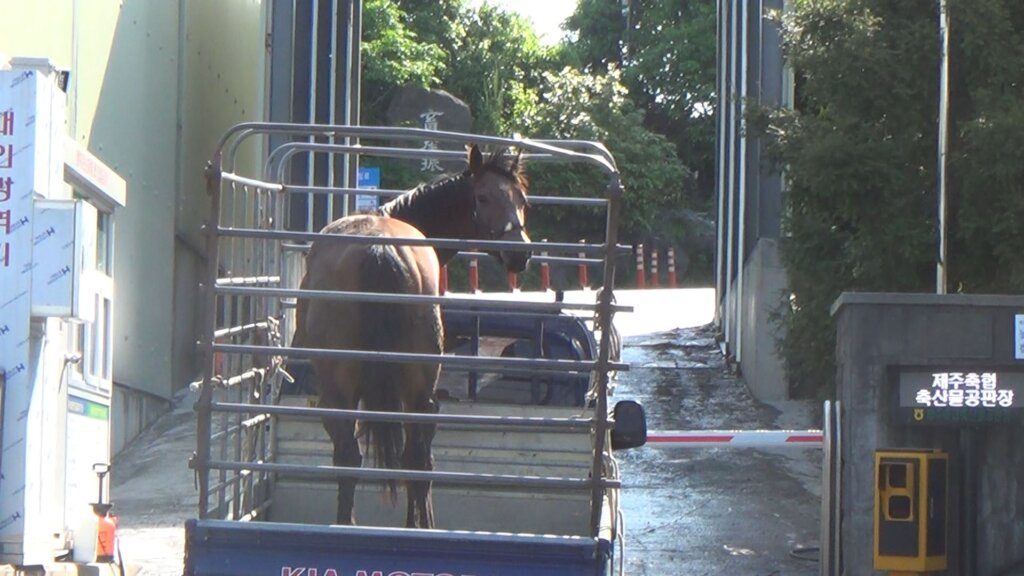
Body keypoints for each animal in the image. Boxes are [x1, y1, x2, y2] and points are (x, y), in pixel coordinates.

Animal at [292, 145, 531, 528]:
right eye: (483, 197)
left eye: (521, 200)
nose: (520, 253)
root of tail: (379, 247)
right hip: (413, 387)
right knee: (413, 458)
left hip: (342, 393)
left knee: (360, 457)